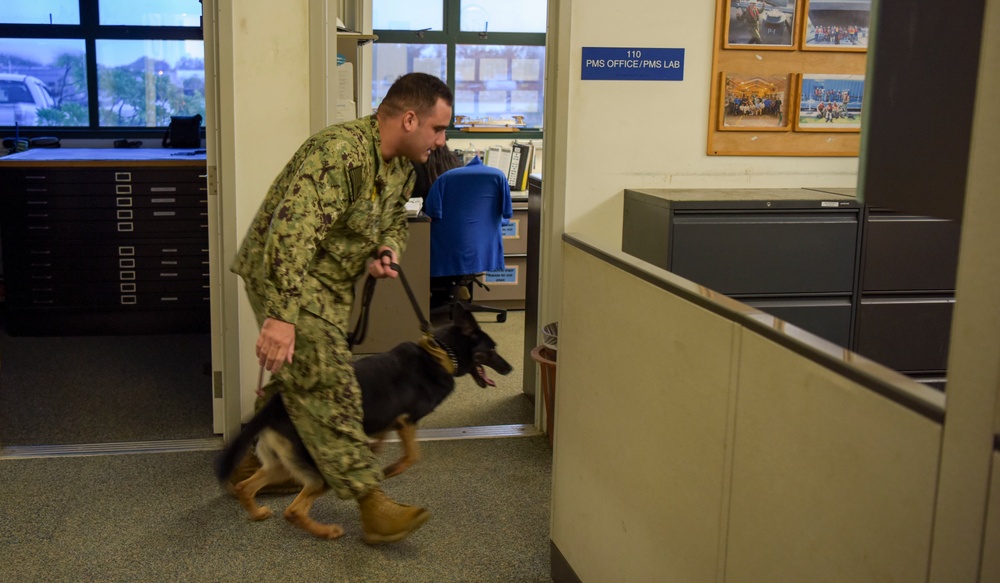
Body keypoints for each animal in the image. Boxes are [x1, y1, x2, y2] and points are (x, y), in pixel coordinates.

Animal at [215, 306, 512, 540]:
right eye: (491, 350)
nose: (510, 369)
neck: (440, 353)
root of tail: (275, 406)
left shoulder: (391, 420)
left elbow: (384, 436)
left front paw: (377, 449)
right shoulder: (407, 420)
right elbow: (413, 456)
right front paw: (391, 468)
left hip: (280, 463)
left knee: (245, 487)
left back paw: (257, 513)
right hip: (322, 469)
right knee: (293, 511)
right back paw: (327, 531)